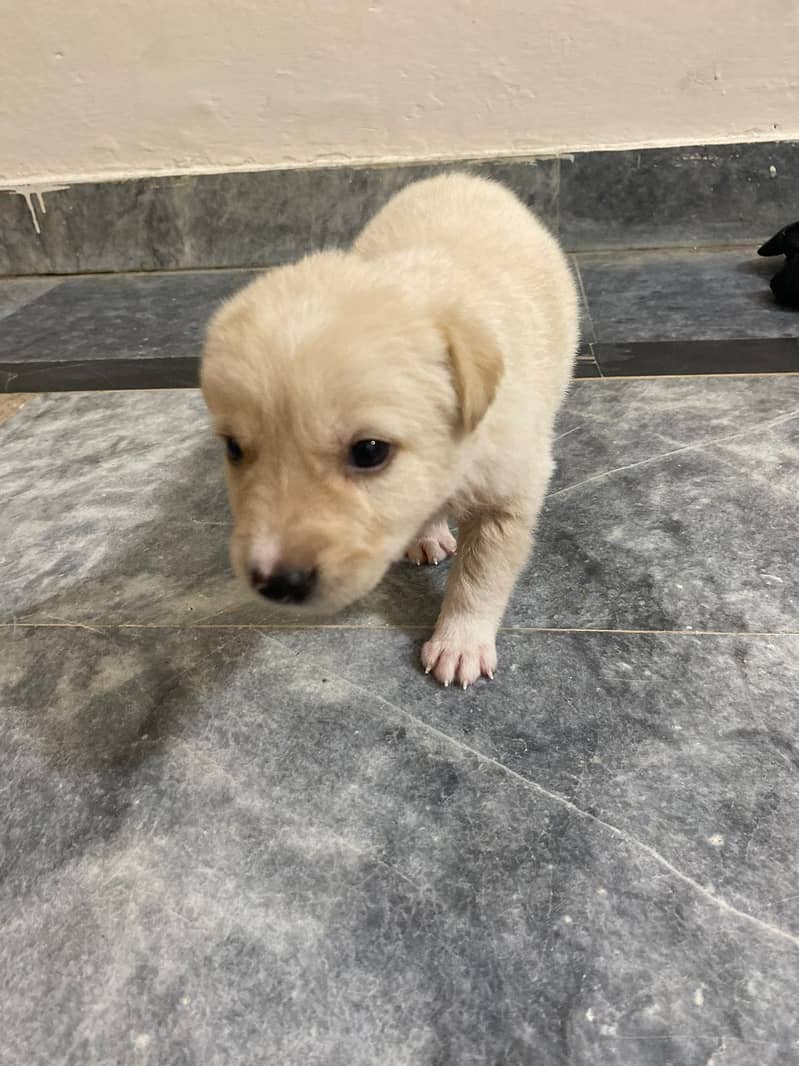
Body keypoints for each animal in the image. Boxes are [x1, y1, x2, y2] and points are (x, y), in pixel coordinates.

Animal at [203, 172, 579, 690]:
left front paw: (460, 644)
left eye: (369, 451)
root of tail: (462, 177)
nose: (276, 584)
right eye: (234, 449)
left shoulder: (509, 494)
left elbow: (481, 575)